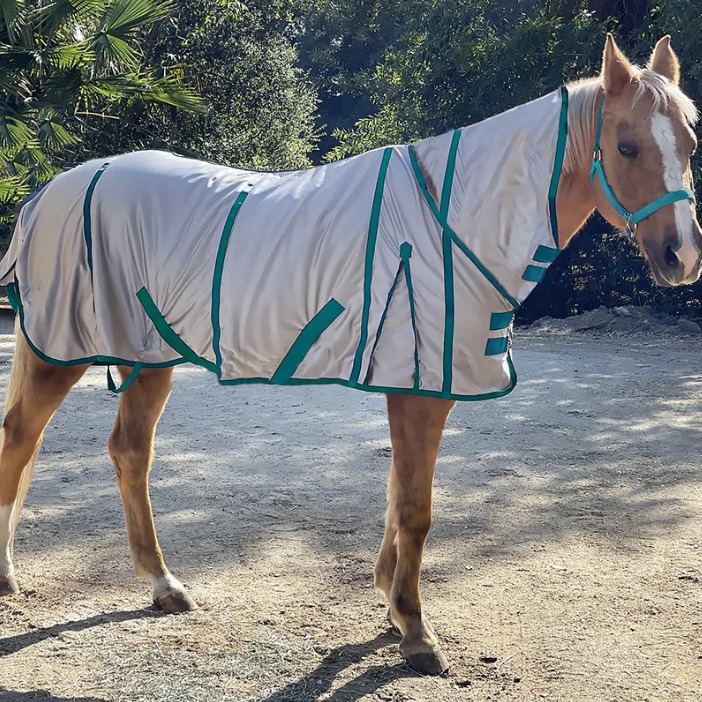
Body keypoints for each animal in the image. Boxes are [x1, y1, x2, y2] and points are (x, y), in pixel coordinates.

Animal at [0, 34, 699, 676]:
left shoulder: (419, 383)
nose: (683, 257)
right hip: (61, 352)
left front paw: (390, 604)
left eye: (690, 144)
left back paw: (162, 585)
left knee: (129, 454)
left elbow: (397, 495)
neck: (452, 218)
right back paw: (11, 577)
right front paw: (416, 631)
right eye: (627, 146)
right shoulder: (418, 388)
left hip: (147, 355)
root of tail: (50, 190)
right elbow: (416, 508)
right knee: (20, 441)